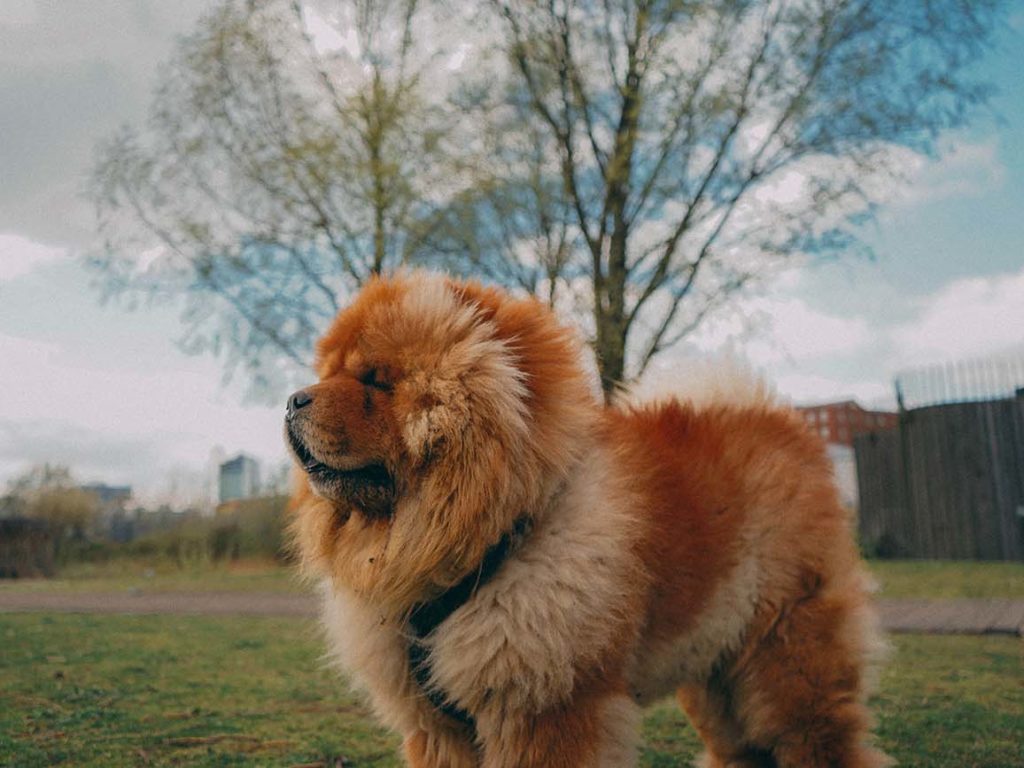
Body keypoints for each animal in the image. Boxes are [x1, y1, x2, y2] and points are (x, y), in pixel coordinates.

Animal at [288, 272, 888, 768]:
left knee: (818, 740)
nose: (294, 399)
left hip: (786, 656)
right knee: (741, 749)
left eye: (375, 379)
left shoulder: (547, 703)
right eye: (329, 372)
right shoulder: (438, 727)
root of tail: (779, 423)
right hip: (715, 667)